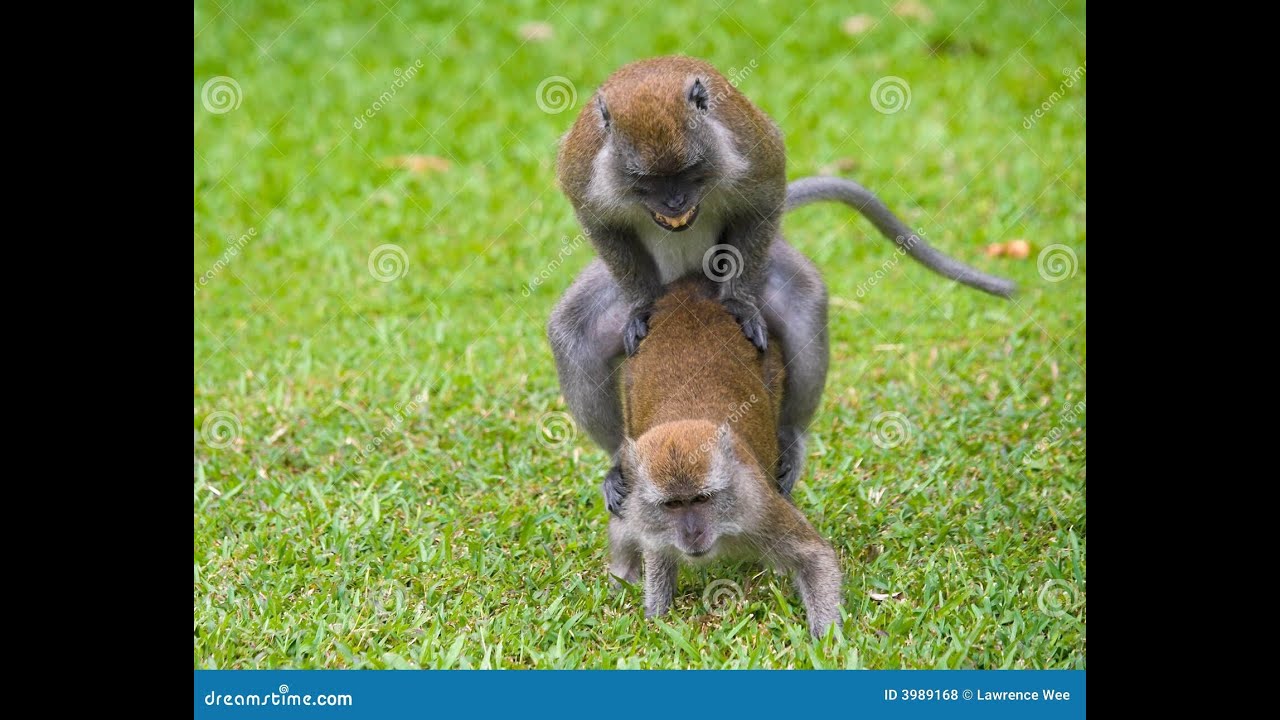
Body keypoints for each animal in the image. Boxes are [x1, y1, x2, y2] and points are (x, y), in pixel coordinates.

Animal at [548, 55, 1016, 507]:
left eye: (690, 170)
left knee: (803, 304)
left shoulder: (747, 145)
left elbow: (765, 195)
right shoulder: (583, 173)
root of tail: (687, 278)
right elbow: (600, 224)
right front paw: (642, 303)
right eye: (645, 181)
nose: (675, 201)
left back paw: (790, 436)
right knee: (571, 334)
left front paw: (738, 303)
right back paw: (618, 460)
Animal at [608, 275, 842, 638]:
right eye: (673, 505)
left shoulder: (759, 506)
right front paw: (656, 618)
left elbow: (815, 557)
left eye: (702, 499)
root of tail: (688, 295)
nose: (691, 534)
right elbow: (658, 551)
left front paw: (828, 641)